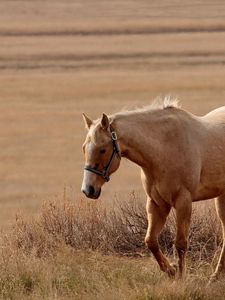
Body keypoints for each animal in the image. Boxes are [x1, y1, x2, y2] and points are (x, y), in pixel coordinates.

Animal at [81, 98, 225, 282]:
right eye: (84, 148)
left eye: (102, 149)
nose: (88, 189)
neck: (165, 147)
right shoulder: (157, 203)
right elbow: (151, 241)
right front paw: (171, 270)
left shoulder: (183, 202)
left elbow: (181, 243)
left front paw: (181, 276)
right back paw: (215, 275)